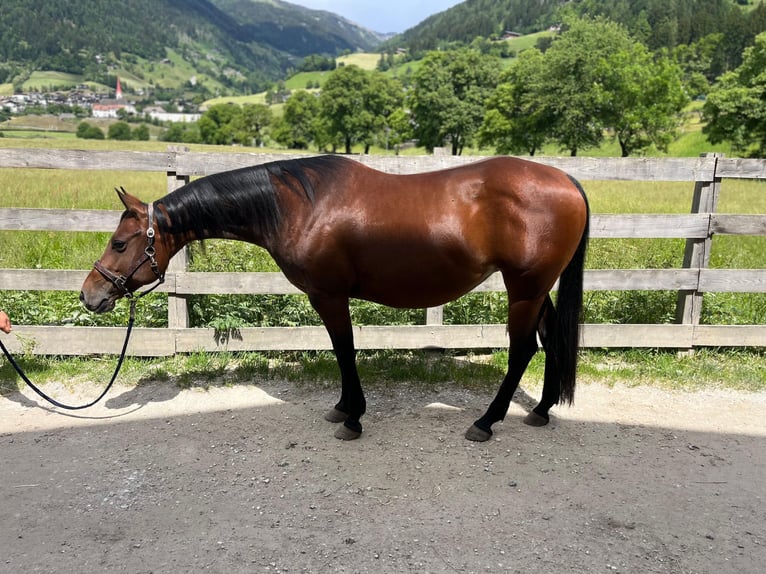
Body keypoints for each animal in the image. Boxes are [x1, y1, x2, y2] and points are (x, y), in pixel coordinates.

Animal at [80, 155, 589, 442]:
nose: (90, 294)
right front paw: (344, 408)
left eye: (120, 243)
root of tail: (566, 180)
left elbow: (344, 349)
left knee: (522, 350)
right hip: (536, 289)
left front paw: (353, 418)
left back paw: (486, 422)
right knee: (546, 342)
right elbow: (340, 350)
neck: (298, 204)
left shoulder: (329, 295)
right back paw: (540, 411)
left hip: (524, 287)